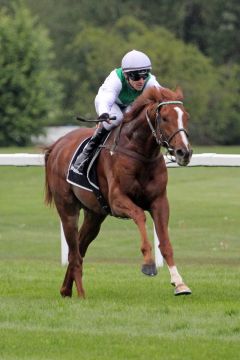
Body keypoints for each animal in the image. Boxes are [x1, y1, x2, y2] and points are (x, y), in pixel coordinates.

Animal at [44, 85, 192, 298]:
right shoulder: (117, 200)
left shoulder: (159, 201)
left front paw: (179, 283)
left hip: (94, 215)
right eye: (164, 118)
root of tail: (57, 145)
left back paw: (66, 289)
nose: (184, 152)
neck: (140, 153)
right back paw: (81, 294)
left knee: (79, 248)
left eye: (185, 116)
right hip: (67, 209)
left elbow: (165, 243)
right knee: (74, 252)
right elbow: (139, 215)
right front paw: (148, 264)